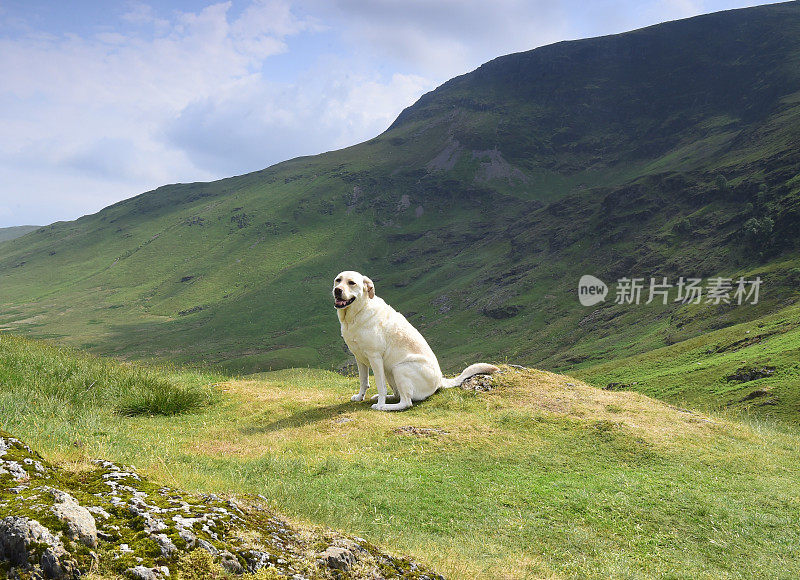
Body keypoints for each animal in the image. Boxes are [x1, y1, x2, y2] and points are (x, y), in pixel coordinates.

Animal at [332, 272, 496, 412]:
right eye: (338, 280)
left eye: (352, 283)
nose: (337, 290)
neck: (356, 315)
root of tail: (440, 381)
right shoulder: (359, 358)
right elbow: (363, 381)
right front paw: (360, 397)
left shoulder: (375, 357)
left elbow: (380, 385)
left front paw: (380, 403)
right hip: (389, 371)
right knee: (398, 395)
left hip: (399, 368)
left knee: (406, 402)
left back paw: (383, 406)